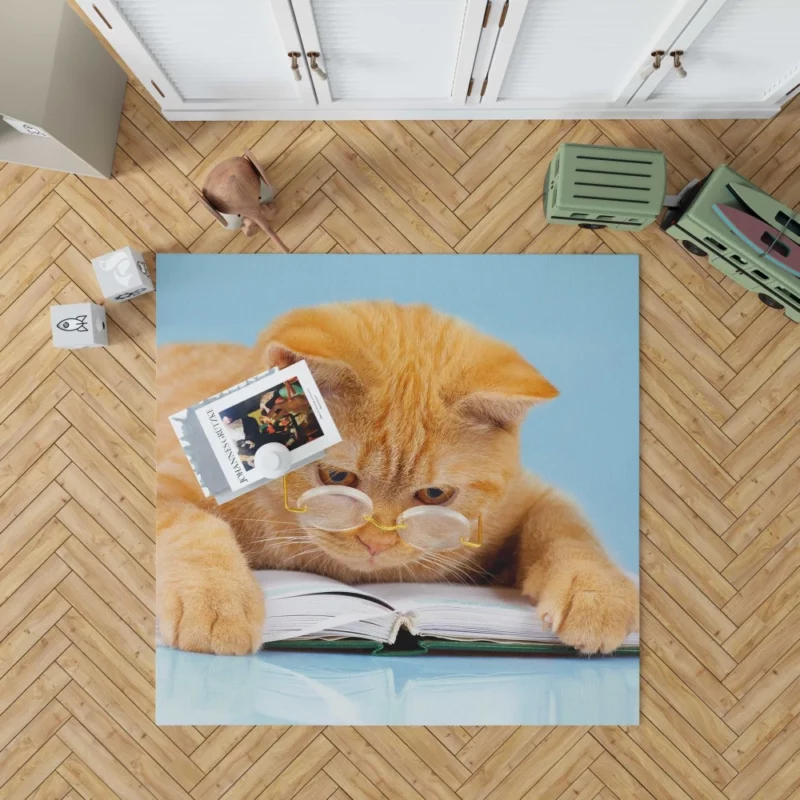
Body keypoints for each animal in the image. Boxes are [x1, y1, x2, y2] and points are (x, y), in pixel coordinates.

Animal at [158, 300, 636, 656]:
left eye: (434, 494)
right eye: (337, 475)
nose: (377, 542)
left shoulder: (529, 497)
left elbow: (567, 526)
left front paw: (596, 591)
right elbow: (190, 525)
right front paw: (216, 599)